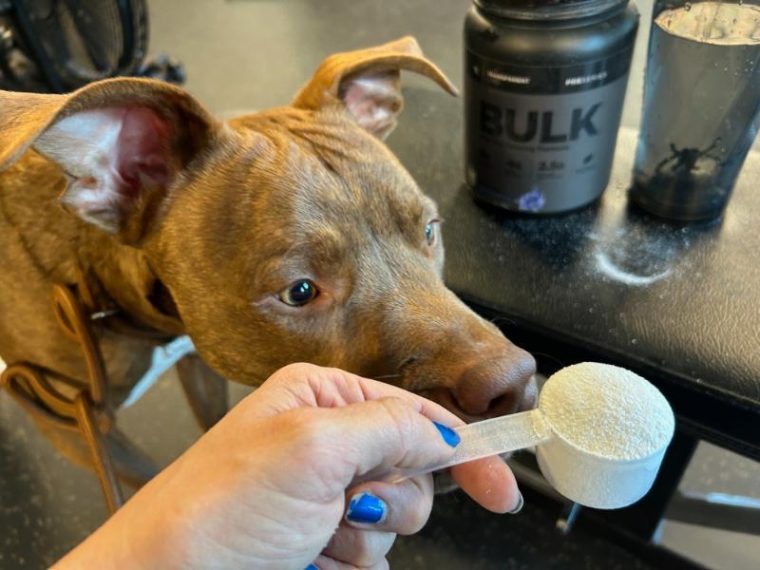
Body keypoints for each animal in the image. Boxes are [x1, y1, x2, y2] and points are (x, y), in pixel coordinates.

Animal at [0, 37, 536, 474]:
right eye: (299, 292)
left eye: (428, 230)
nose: (509, 383)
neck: (91, 278)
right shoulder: (72, 427)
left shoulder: (198, 362)